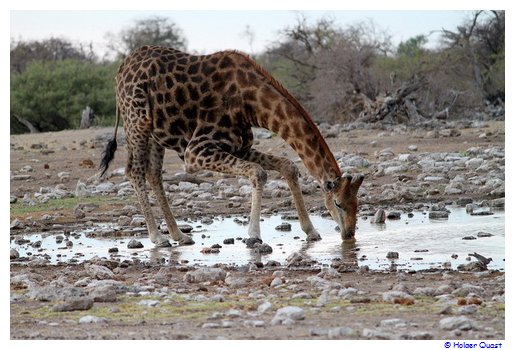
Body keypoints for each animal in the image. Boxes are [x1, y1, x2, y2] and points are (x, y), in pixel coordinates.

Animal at [101, 45, 364, 247]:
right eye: (338, 204)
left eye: (357, 204)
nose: (349, 235)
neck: (251, 105)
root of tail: (119, 71)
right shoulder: (195, 151)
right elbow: (259, 173)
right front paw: (254, 235)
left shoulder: (240, 146)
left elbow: (288, 166)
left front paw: (311, 231)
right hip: (137, 121)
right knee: (134, 171)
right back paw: (158, 237)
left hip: (157, 133)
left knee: (153, 174)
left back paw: (179, 235)